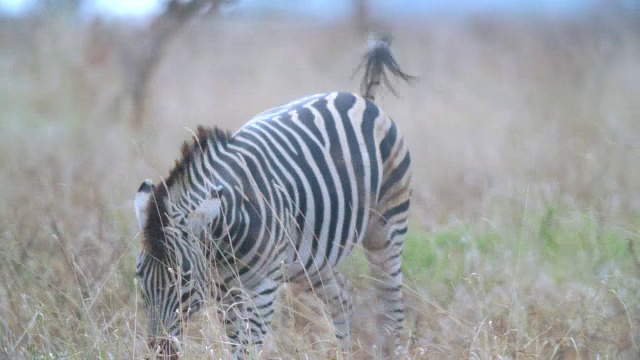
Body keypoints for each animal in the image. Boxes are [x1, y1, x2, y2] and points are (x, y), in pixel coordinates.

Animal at [136, 34, 416, 358]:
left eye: (183, 278)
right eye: (139, 276)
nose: (160, 350)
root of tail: (362, 100)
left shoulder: (263, 289)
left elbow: (247, 347)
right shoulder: (225, 290)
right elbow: (236, 343)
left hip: (387, 228)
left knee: (392, 307)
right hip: (310, 257)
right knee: (342, 300)